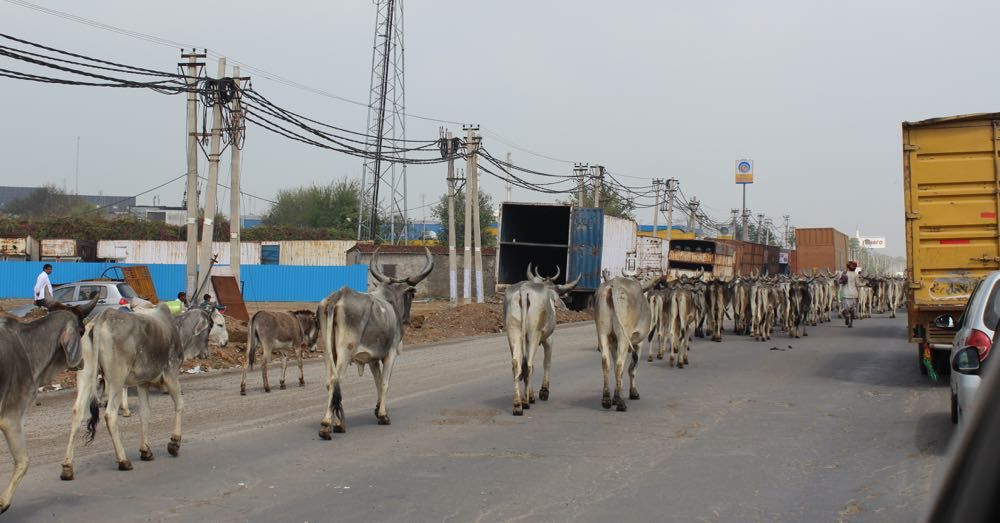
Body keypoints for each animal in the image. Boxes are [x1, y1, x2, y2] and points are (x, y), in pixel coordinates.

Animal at [0, 300, 94, 512]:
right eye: (81, 330)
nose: (83, 362)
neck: (28, 345)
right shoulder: (11, 417)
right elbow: (23, 461)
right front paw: (3, 502)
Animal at [59, 308, 212, 484]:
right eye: (210, 327)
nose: (207, 354)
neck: (177, 328)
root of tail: (103, 317)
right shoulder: (171, 372)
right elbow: (180, 404)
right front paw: (174, 443)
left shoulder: (143, 382)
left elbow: (145, 413)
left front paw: (146, 451)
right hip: (117, 379)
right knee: (110, 414)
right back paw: (123, 460)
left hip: (86, 373)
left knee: (77, 412)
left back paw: (67, 468)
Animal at [316, 248, 434, 440]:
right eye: (412, 294)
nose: (408, 319)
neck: (390, 300)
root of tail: (338, 297)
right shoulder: (391, 353)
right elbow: (385, 382)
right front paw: (383, 415)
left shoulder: (372, 359)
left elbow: (377, 382)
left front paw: (378, 409)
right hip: (344, 351)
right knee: (336, 380)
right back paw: (329, 425)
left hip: (328, 352)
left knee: (329, 382)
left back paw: (334, 423)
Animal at [504, 266, 584, 418]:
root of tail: (523, 291)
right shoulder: (549, 339)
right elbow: (547, 363)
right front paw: (543, 392)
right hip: (533, 334)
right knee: (529, 365)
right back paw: (526, 402)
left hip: (513, 332)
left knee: (517, 365)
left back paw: (518, 405)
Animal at [592, 274, 656, 414]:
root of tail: (613, 286)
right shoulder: (638, 343)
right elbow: (632, 368)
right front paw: (632, 393)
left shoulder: (613, 344)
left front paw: (615, 396)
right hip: (623, 337)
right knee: (620, 365)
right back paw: (621, 403)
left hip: (603, 333)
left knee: (606, 363)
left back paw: (606, 399)